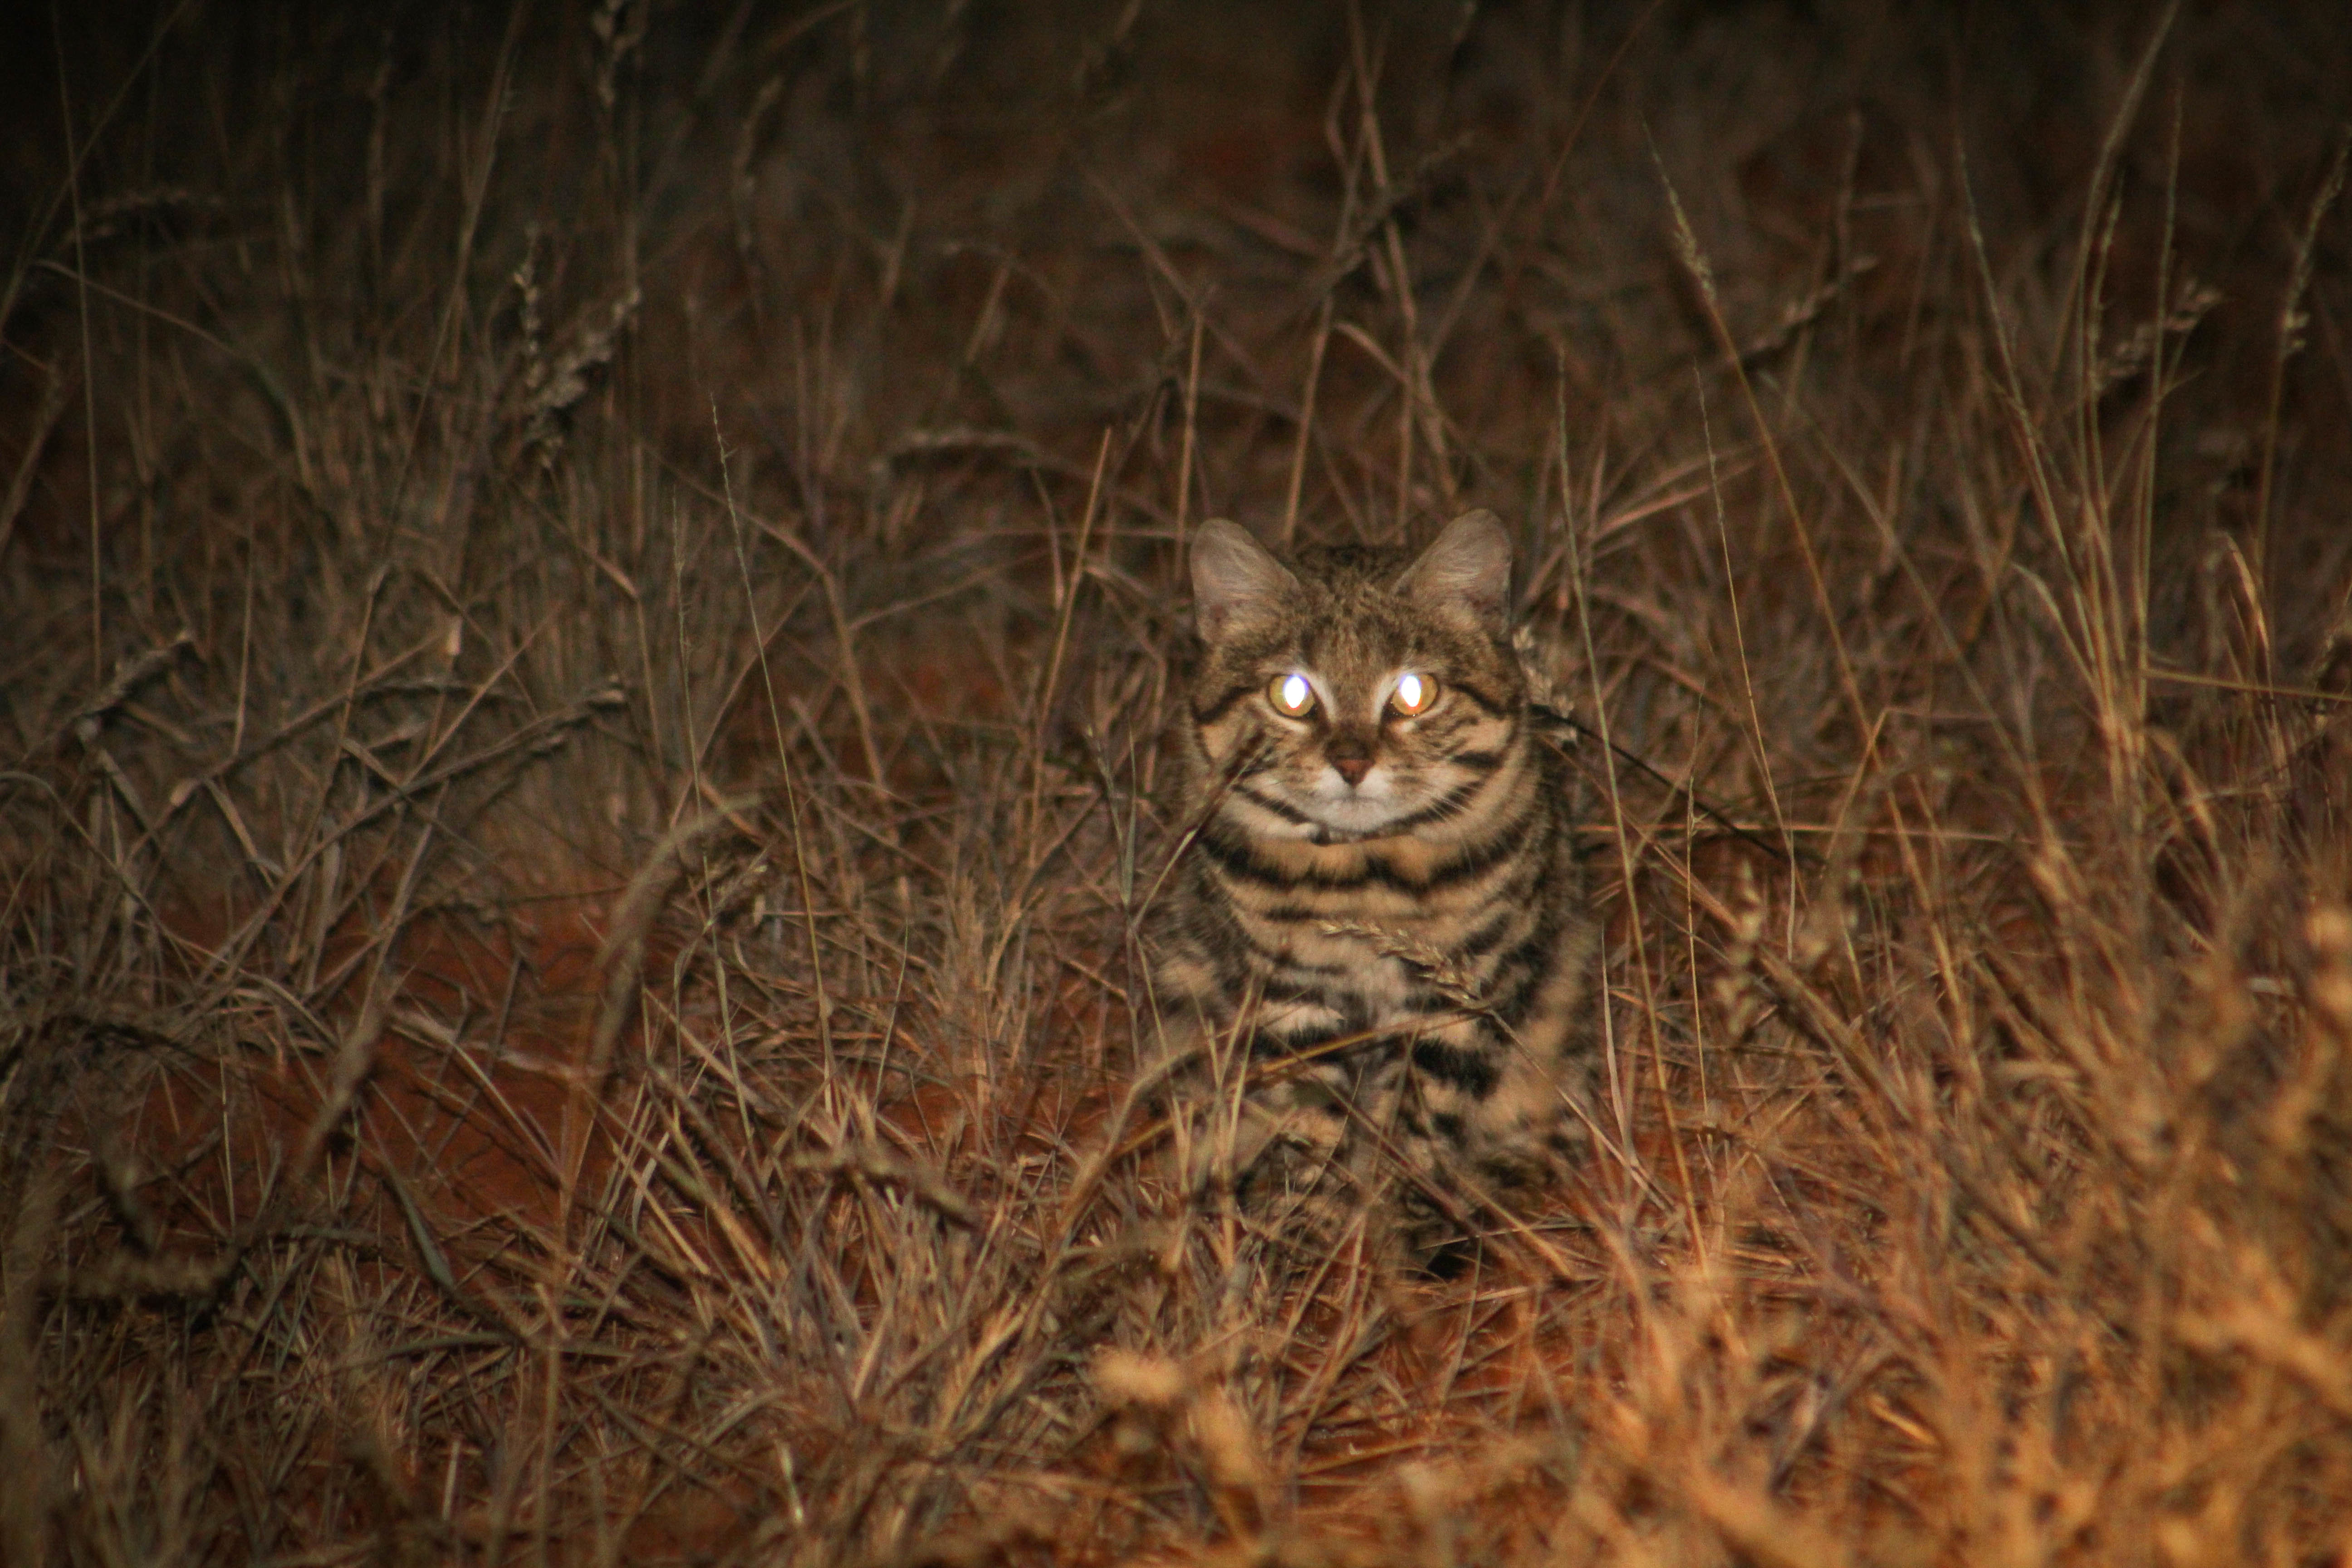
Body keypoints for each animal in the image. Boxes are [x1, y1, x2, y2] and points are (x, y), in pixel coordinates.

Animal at [1143, 514, 1599, 1260]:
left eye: (1415, 693)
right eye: (1292, 694)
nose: (1352, 763)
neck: (1367, 880)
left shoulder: (1459, 995)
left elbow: (1420, 1124)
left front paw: (1399, 1231)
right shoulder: (1292, 996)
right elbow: (1316, 1123)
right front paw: (1317, 1233)